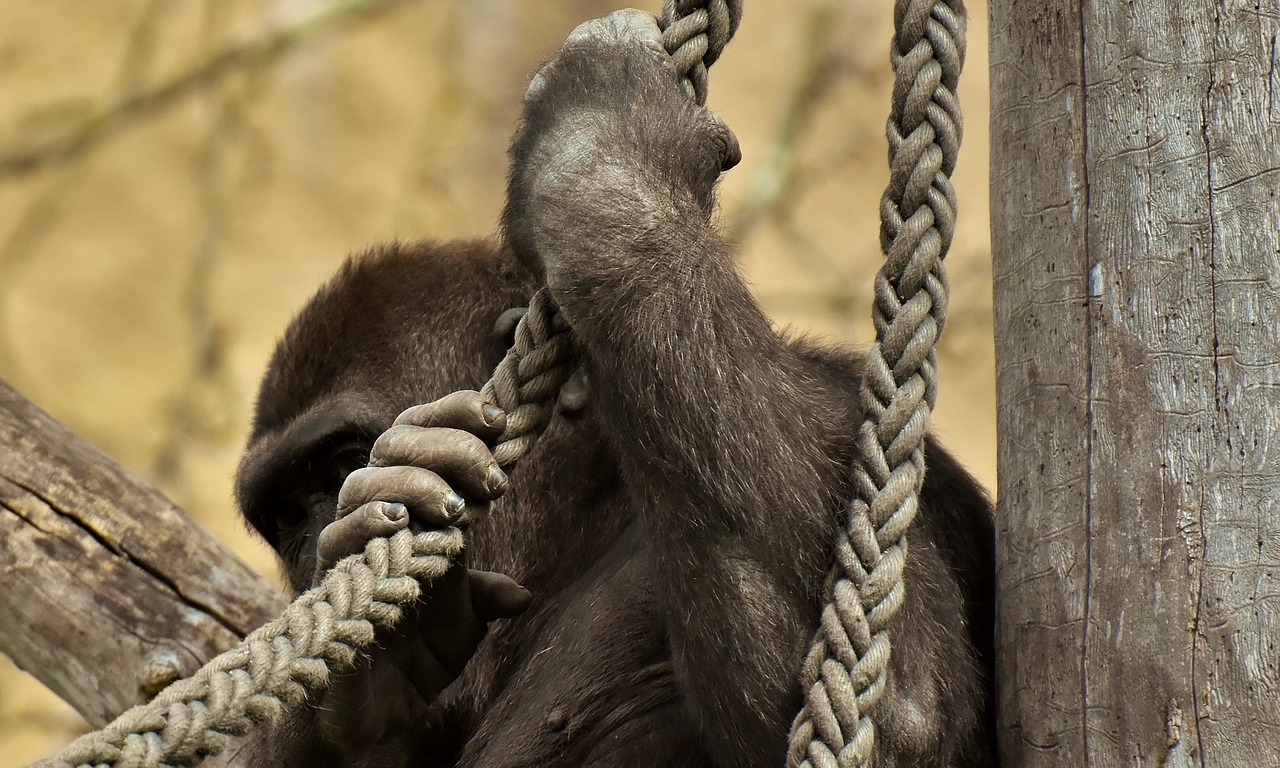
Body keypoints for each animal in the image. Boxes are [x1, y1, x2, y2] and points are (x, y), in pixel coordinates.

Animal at [230, 9, 993, 762]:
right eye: (287, 515)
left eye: (342, 463)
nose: (311, 553)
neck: (587, 523)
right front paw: (364, 681)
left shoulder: (843, 413)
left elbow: (900, 709)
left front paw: (606, 144)